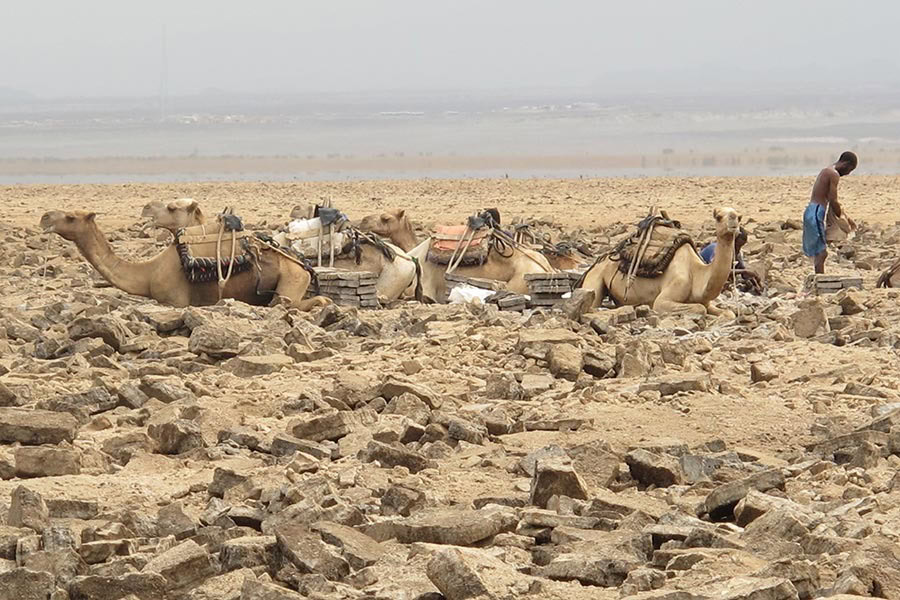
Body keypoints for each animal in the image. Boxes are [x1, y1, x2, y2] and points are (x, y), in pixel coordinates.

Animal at [41, 210, 330, 311]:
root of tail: (303, 265)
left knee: (294, 302)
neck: (149, 272)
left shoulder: (175, 300)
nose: (45, 217)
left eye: (71, 217)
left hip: (291, 280)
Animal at [578, 207, 742, 315]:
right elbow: (698, 308)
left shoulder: (706, 301)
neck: (697, 273)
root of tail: (596, 262)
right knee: (592, 303)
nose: (734, 219)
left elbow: (728, 313)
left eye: (740, 217)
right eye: (718, 217)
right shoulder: (669, 294)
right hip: (595, 278)